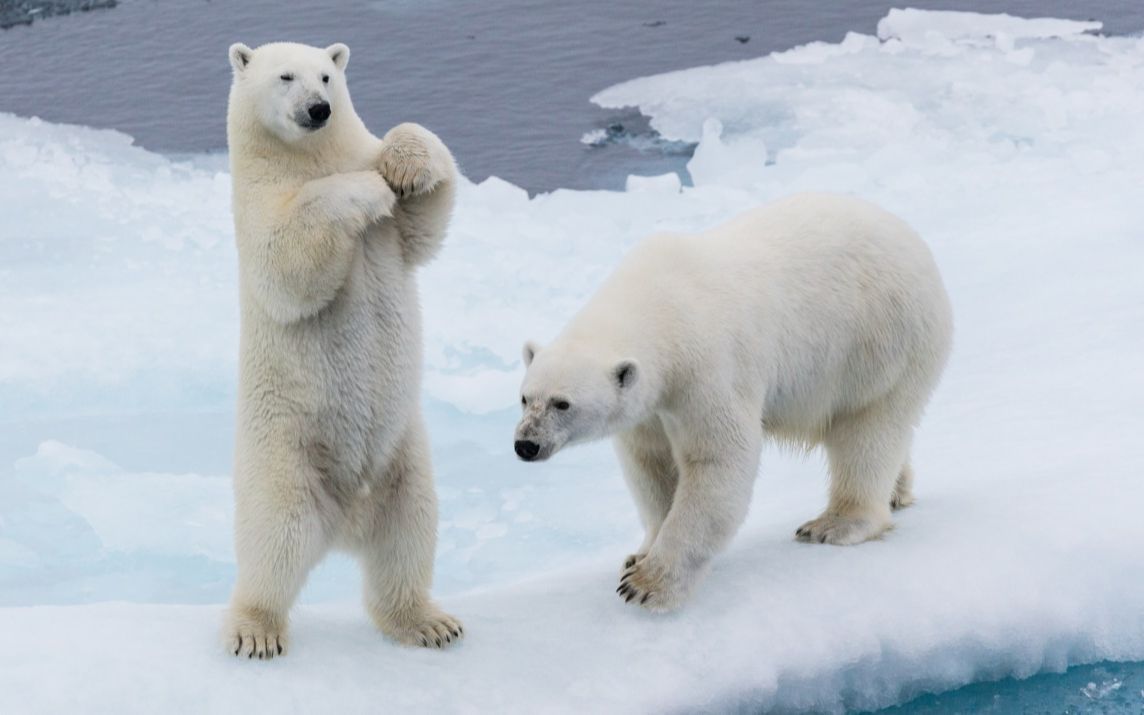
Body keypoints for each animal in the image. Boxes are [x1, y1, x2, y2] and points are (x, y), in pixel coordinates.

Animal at [223, 41, 461, 657]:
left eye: (327, 76)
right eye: (285, 77)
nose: (318, 109)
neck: (308, 157)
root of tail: (346, 523)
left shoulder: (394, 232)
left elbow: (426, 223)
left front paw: (403, 166)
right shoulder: (256, 203)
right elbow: (287, 262)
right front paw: (368, 189)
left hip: (403, 459)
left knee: (408, 535)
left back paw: (428, 622)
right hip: (284, 456)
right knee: (274, 544)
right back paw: (255, 630)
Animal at [514, 193, 953, 612]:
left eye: (562, 404)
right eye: (525, 398)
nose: (525, 445)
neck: (659, 304)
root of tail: (916, 244)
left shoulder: (706, 367)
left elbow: (718, 459)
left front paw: (647, 584)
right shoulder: (652, 405)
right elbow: (651, 464)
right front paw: (639, 554)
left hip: (879, 340)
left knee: (867, 430)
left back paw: (834, 523)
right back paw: (897, 490)